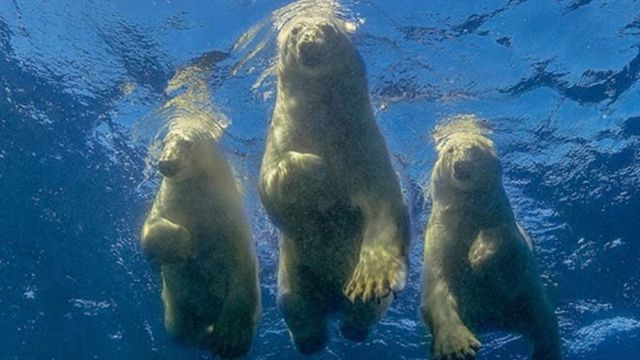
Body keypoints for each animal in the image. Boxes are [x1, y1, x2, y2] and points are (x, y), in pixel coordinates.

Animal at [141, 117, 260, 358]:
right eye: (165, 141)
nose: (166, 163)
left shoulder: (233, 224)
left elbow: (242, 274)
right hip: (176, 308)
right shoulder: (169, 203)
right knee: (181, 330)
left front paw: (231, 338)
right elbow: (149, 233)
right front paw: (185, 244)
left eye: (188, 143)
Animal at [258, 13, 410, 354]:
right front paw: (321, 176)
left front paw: (370, 277)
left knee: (364, 310)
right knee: (295, 306)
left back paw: (353, 326)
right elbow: (273, 188)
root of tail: (331, 302)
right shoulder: (282, 136)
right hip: (293, 274)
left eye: (327, 28)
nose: (309, 43)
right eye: (295, 31)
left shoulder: (363, 145)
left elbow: (384, 205)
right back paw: (311, 340)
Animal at [420, 116, 560, 360]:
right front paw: (458, 344)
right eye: (450, 150)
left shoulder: (503, 223)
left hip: (528, 306)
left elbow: (510, 270)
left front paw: (478, 252)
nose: (461, 166)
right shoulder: (439, 241)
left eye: (476, 149)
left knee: (545, 328)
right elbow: (436, 292)